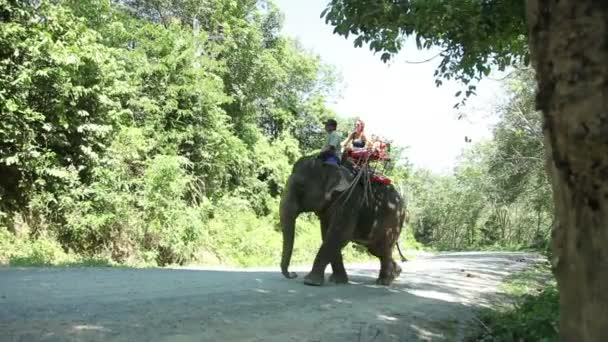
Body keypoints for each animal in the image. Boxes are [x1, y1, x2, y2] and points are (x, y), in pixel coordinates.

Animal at [282, 155, 408, 286]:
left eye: (301, 186)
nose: (293, 274)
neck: (331, 166)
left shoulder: (350, 200)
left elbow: (339, 235)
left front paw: (310, 282)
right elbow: (327, 235)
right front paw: (337, 280)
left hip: (394, 221)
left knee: (383, 249)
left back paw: (384, 281)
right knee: (377, 250)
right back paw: (396, 273)